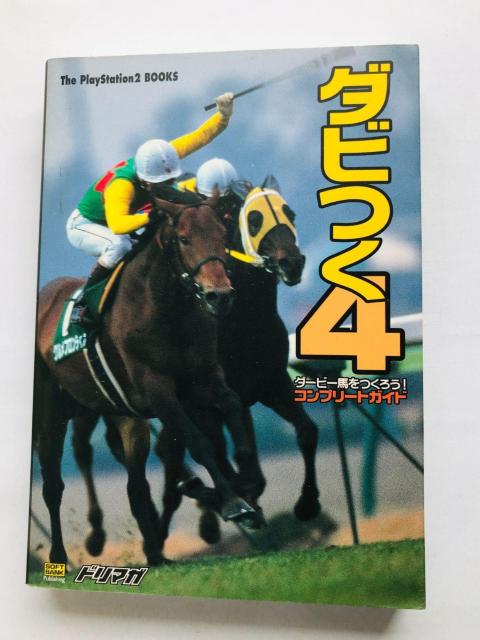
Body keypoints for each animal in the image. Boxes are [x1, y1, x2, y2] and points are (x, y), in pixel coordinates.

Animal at [33, 195, 264, 566]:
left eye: (221, 234)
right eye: (184, 239)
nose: (219, 295)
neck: (165, 308)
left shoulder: (202, 379)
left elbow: (230, 409)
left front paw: (246, 482)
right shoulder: (157, 391)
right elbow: (199, 442)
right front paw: (232, 501)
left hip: (124, 417)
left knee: (136, 486)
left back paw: (156, 553)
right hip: (51, 414)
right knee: (53, 485)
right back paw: (59, 556)